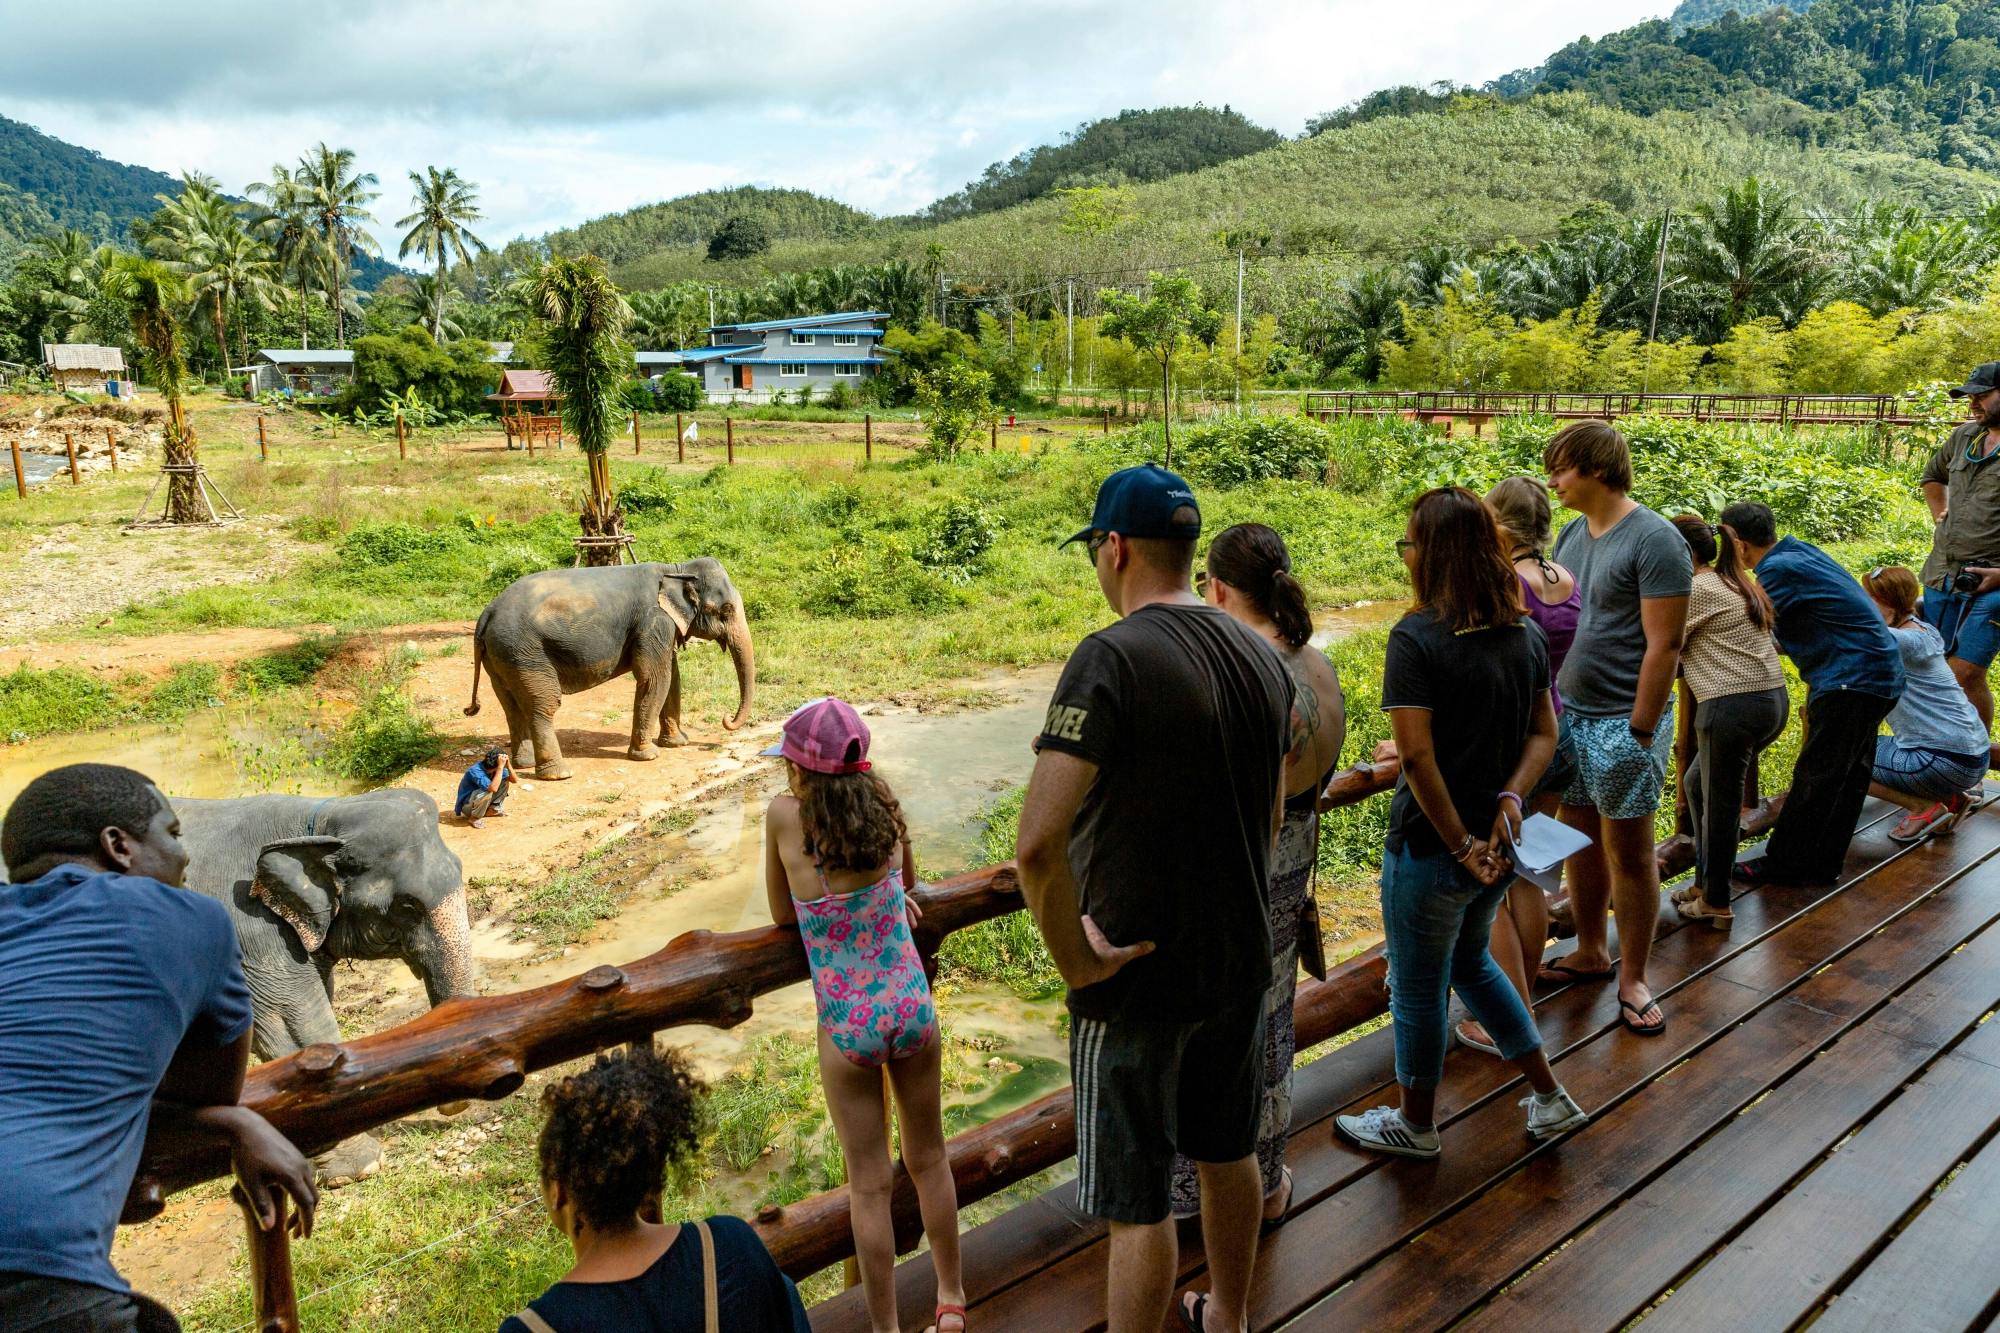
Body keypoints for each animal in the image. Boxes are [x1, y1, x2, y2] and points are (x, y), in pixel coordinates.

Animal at [178, 784, 478, 1176]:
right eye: (407, 906)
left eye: (460, 869)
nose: (450, 1106)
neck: (320, 821)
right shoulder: (250, 935)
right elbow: (293, 1018)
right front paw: (361, 1166)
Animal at [460, 552, 756, 780]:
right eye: (727, 610)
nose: (727, 719)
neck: (676, 569)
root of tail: (486, 614)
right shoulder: (653, 621)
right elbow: (654, 678)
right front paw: (648, 756)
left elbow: (672, 678)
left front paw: (677, 742)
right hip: (524, 652)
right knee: (542, 705)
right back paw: (559, 774)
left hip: (502, 657)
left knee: (511, 706)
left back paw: (525, 763)